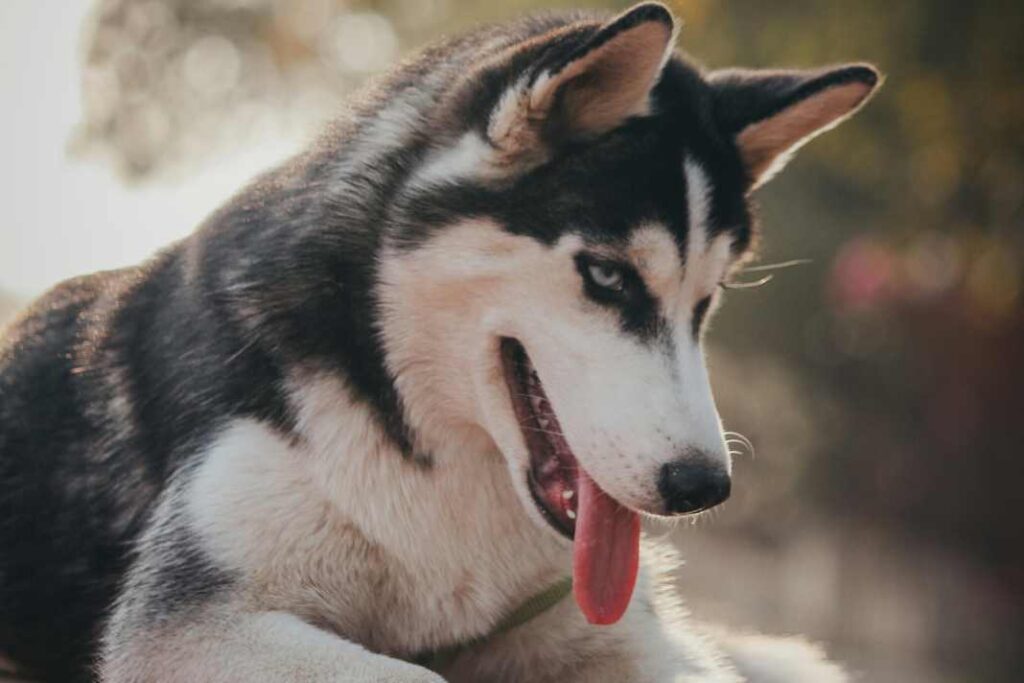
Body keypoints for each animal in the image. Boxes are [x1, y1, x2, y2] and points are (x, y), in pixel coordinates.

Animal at [0, 2, 880, 679]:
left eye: (709, 297)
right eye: (607, 274)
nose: (702, 485)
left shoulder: (615, 631)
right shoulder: (189, 625)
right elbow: (415, 673)